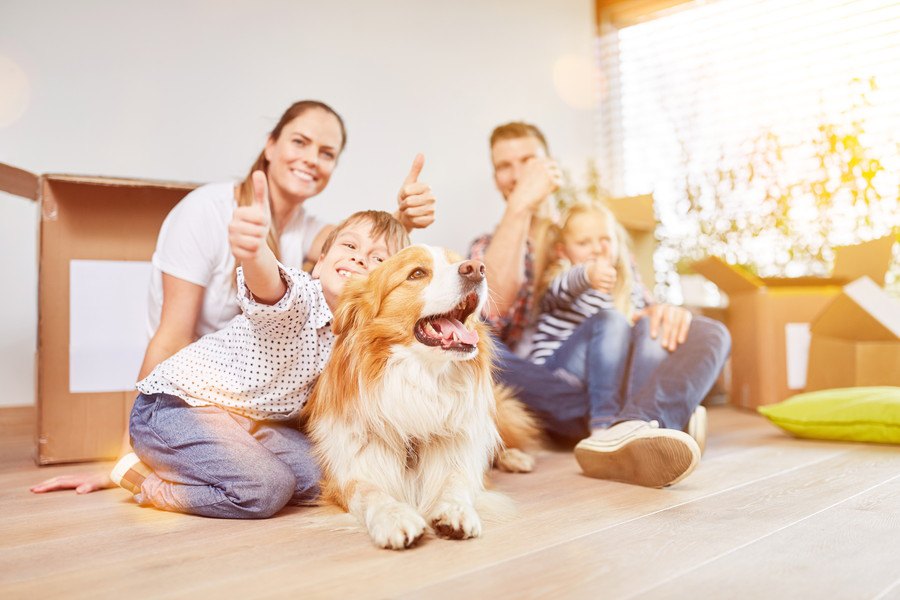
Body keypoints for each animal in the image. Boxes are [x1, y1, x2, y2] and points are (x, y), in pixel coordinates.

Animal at [306, 244, 536, 548]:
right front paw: (394, 517)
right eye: (417, 273)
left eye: (459, 262)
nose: (476, 268)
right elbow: (370, 492)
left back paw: (517, 458)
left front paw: (455, 510)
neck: (422, 382)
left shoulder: (458, 453)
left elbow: (456, 482)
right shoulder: (346, 475)